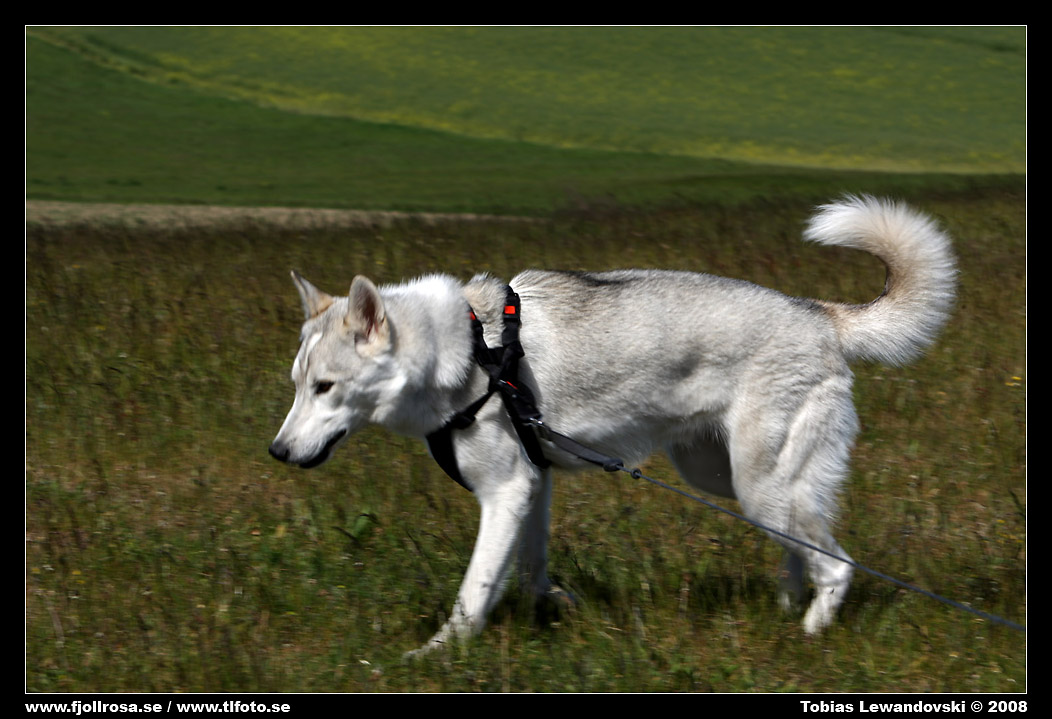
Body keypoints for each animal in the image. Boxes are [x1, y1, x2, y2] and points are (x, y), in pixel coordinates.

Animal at [269, 196, 956, 654]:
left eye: (326, 387)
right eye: (298, 386)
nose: (277, 452)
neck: (466, 352)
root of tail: (819, 314)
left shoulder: (506, 493)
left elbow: (473, 593)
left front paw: (436, 658)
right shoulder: (534, 485)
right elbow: (530, 569)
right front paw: (553, 607)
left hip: (761, 486)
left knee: (836, 565)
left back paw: (809, 634)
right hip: (725, 479)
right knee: (799, 550)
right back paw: (789, 608)